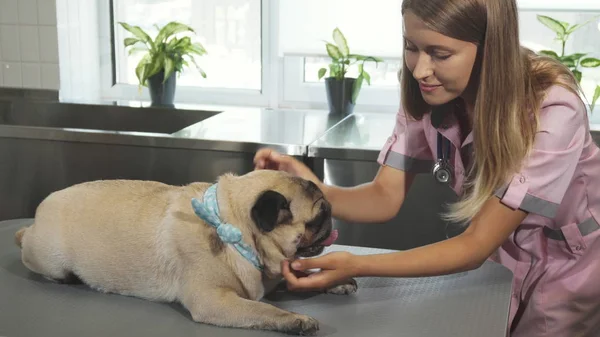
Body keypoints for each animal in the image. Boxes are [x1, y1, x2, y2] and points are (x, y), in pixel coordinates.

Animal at [15, 169, 356, 334]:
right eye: (318, 217)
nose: (332, 221)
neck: (234, 227)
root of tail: (39, 213)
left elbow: (302, 275)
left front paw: (335, 281)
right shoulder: (214, 300)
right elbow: (264, 311)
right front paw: (295, 319)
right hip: (50, 258)